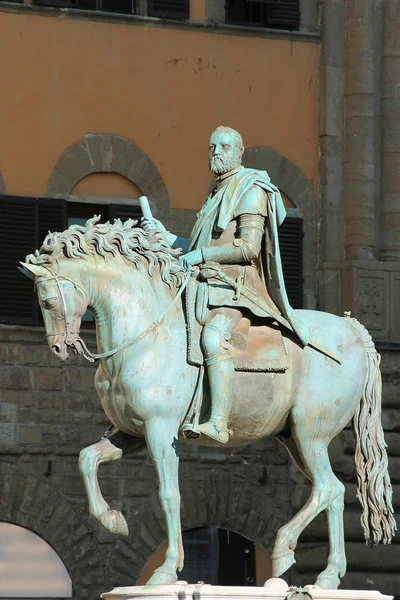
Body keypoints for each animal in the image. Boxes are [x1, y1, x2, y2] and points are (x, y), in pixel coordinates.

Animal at [20, 217, 396, 592]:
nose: (59, 348)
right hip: (295, 440)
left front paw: (167, 569)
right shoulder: (133, 433)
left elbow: (169, 495)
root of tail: (352, 329)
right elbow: (86, 459)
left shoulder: (160, 429)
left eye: (47, 300)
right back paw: (328, 575)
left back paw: (284, 549)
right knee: (334, 493)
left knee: (328, 487)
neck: (149, 333)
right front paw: (114, 520)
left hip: (309, 433)